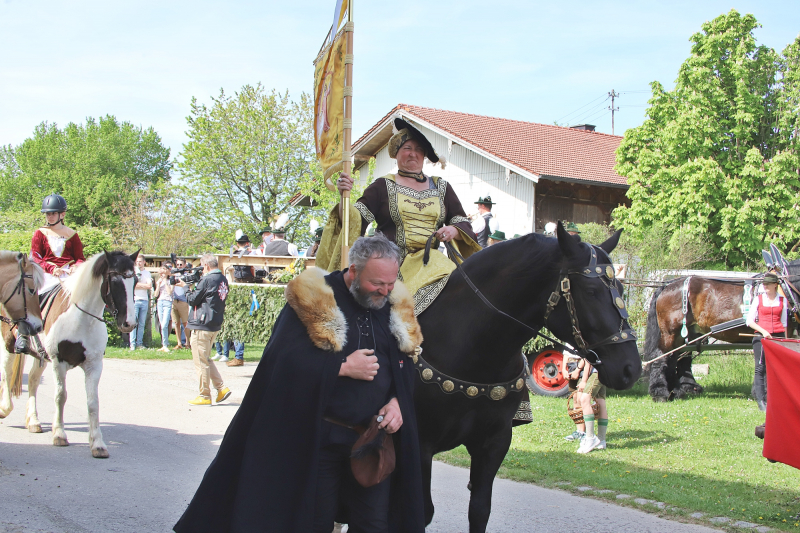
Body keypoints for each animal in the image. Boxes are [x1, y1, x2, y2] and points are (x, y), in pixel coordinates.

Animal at [0, 250, 138, 458]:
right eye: (114, 281)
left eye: (135, 281)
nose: (129, 323)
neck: (81, 319)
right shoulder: (59, 362)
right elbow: (61, 396)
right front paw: (59, 434)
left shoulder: (94, 365)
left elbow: (93, 402)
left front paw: (97, 444)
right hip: (8, 344)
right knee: (7, 374)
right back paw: (5, 408)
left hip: (41, 357)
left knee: (32, 380)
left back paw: (33, 421)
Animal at [415, 222, 641, 532]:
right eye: (592, 290)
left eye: (619, 287)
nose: (631, 368)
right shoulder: (419, 446)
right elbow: (420, 512)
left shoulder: (494, 442)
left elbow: (479, 510)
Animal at [644, 264, 800, 402]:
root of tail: (667, 285)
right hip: (670, 332)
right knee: (661, 358)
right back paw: (660, 393)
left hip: (680, 335)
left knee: (673, 359)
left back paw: (676, 392)